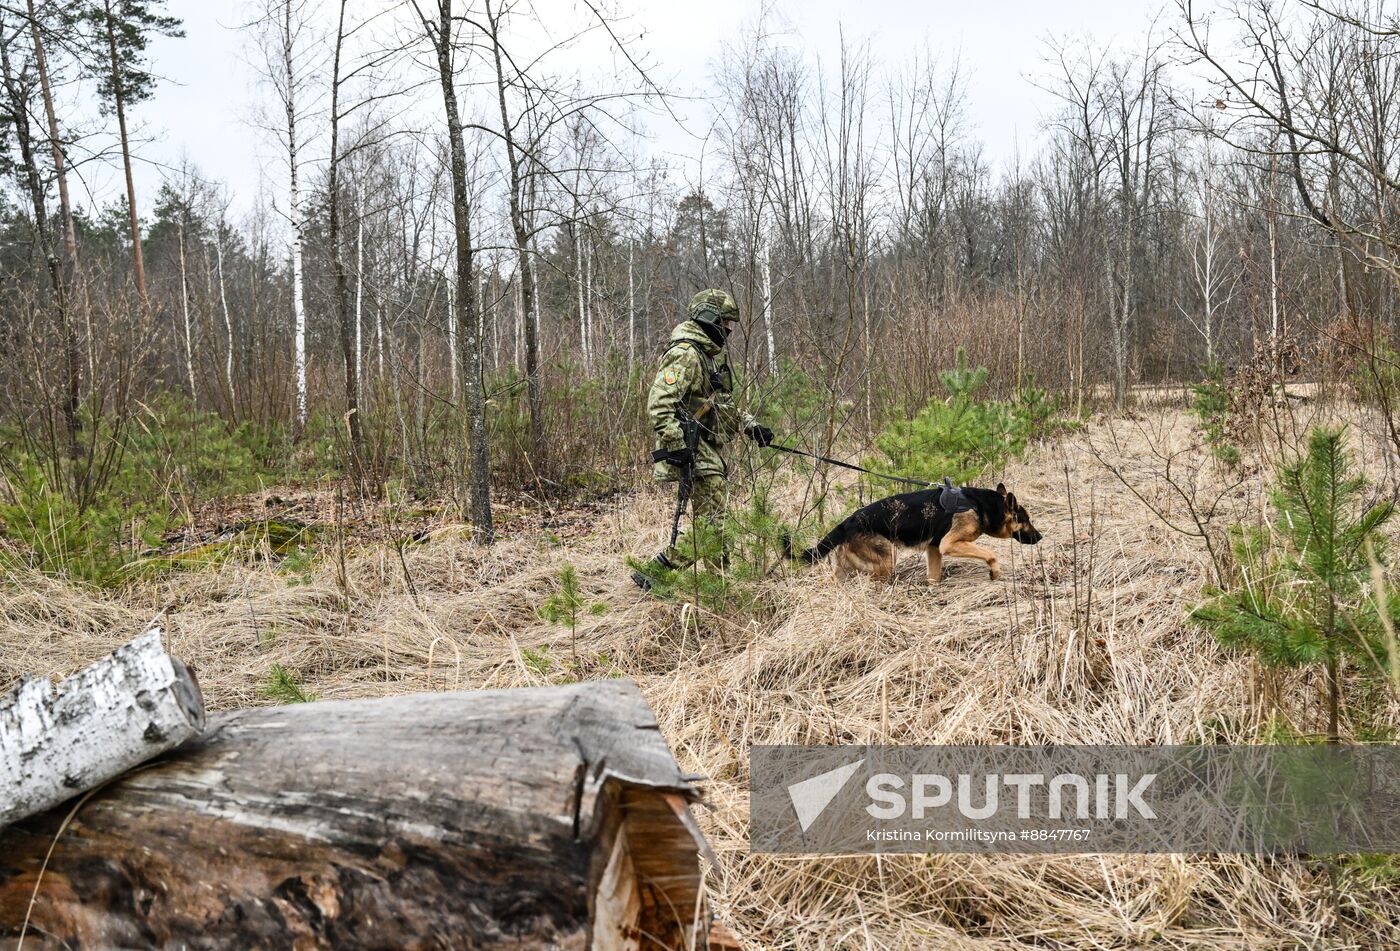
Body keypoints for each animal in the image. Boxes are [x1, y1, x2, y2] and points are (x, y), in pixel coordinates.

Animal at [789, 487, 1041, 585]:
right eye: (1026, 520)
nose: (1041, 537)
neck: (981, 506)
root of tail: (848, 521)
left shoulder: (934, 549)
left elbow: (934, 577)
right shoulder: (949, 544)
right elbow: (990, 553)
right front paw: (994, 572)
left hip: (845, 569)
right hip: (886, 560)